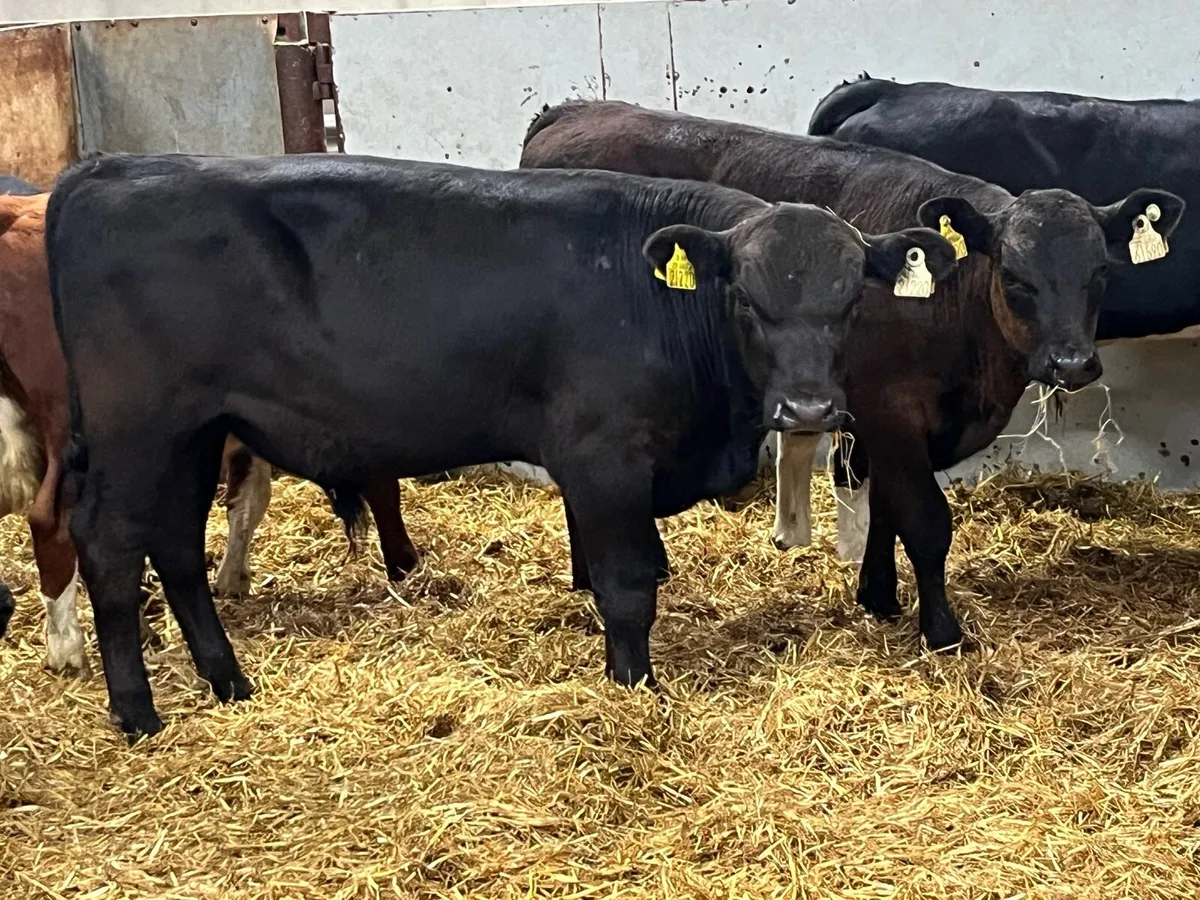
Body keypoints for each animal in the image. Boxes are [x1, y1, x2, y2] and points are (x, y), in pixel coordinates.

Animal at [46, 153, 957, 736]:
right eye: (749, 301)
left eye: (850, 301)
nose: (808, 407)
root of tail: (103, 169)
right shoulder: (601, 458)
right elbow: (627, 585)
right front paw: (634, 687)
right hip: (141, 430)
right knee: (111, 547)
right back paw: (138, 712)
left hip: (195, 434)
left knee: (175, 545)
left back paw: (228, 681)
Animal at [519, 100, 1184, 652]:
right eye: (1015, 276)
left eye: (1101, 272)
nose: (1072, 363)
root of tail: (575, 109)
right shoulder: (890, 410)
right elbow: (925, 521)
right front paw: (942, 632)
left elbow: (887, 508)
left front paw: (879, 595)